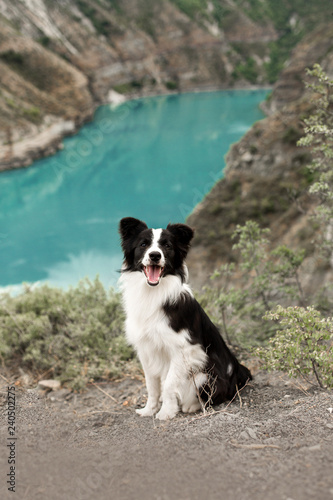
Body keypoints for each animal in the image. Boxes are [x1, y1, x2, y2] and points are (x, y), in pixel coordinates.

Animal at [118, 217, 250, 420]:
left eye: (167, 246)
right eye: (143, 244)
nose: (155, 255)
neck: (153, 293)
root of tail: (237, 374)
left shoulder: (186, 350)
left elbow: (169, 384)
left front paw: (166, 413)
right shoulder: (146, 349)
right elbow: (152, 385)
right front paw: (149, 410)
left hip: (205, 375)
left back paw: (190, 406)